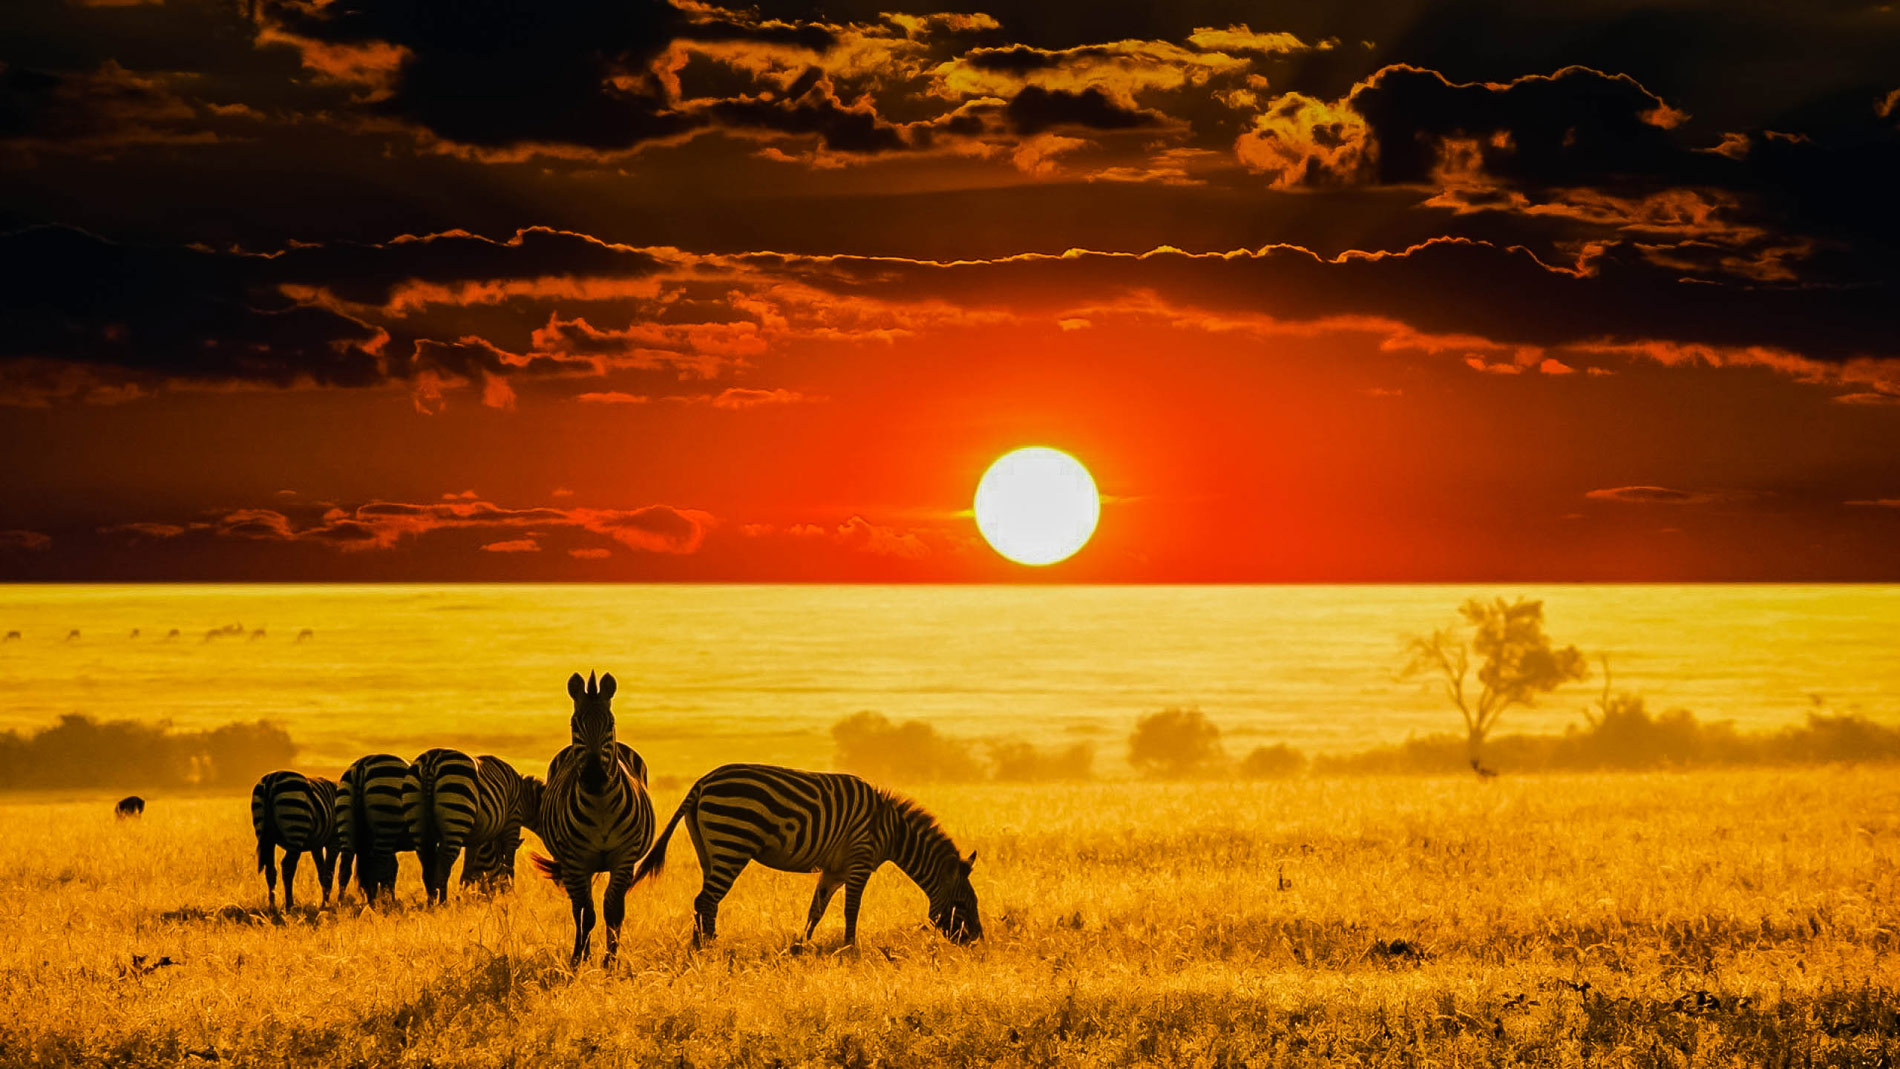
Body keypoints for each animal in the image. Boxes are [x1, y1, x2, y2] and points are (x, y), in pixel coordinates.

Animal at [250, 770, 341, 912]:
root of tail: (272, 779)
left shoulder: (316, 846)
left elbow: (322, 872)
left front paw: (324, 903)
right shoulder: (334, 841)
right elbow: (330, 873)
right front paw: (326, 905)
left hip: (266, 837)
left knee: (271, 870)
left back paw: (272, 907)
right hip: (296, 829)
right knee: (287, 867)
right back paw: (289, 905)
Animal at [338, 753, 413, 903]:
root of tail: (362, 764)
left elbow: (391, 872)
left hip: (348, 824)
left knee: (345, 869)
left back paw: (340, 904)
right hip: (387, 822)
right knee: (376, 869)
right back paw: (378, 905)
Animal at [404, 747, 481, 904]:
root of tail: (431, 761)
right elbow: (468, 870)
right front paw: (460, 898)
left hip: (416, 820)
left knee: (427, 869)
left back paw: (431, 902)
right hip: (456, 810)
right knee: (443, 869)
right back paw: (442, 903)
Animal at [529, 671, 654, 966]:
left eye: (610, 724)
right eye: (575, 724)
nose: (594, 776)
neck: (601, 807)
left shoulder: (624, 857)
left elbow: (613, 910)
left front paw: (611, 961)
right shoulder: (576, 860)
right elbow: (587, 912)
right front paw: (580, 959)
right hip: (573, 865)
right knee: (579, 908)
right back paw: (580, 952)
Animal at [632, 763, 981, 946]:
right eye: (964, 904)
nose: (976, 940)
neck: (892, 830)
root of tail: (703, 782)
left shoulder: (835, 870)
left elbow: (817, 909)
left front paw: (801, 945)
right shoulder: (859, 861)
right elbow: (851, 910)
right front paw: (850, 949)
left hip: (709, 849)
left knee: (705, 900)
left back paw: (702, 944)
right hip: (733, 841)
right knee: (706, 899)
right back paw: (707, 948)